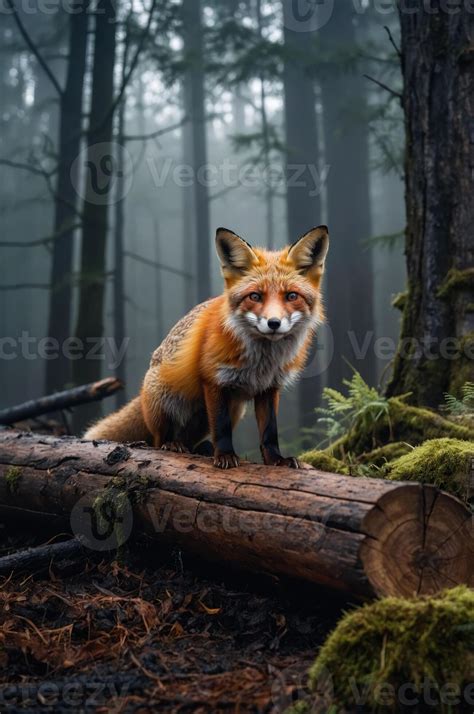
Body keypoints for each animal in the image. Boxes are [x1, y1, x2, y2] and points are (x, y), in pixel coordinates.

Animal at [84, 225, 329, 469]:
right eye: (255, 296)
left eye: (291, 296)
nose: (274, 323)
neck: (263, 361)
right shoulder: (213, 380)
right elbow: (221, 428)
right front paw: (225, 456)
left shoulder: (269, 388)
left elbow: (269, 432)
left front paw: (276, 460)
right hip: (165, 401)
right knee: (157, 440)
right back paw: (173, 444)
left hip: (231, 410)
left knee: (192, 439)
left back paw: (201, 448)